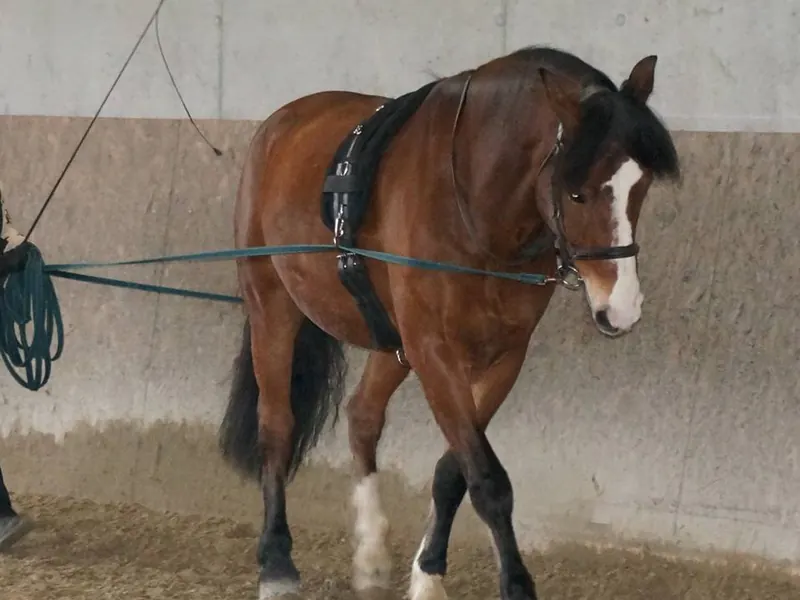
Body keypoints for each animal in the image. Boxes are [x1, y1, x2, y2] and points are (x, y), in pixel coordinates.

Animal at [218, 45, 680, 600]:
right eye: (577, 194)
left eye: (641, 186)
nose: (621, 308)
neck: (478, 211)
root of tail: (281, 123)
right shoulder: (435, 352)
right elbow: (488, 480)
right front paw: (515, 584)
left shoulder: (502, 356)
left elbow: (453, 472)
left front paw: (428, 575)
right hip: (273, 308)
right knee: (277, 426)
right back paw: (277, 564)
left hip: (392, 341)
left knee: (363, 416)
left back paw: (371, 555)